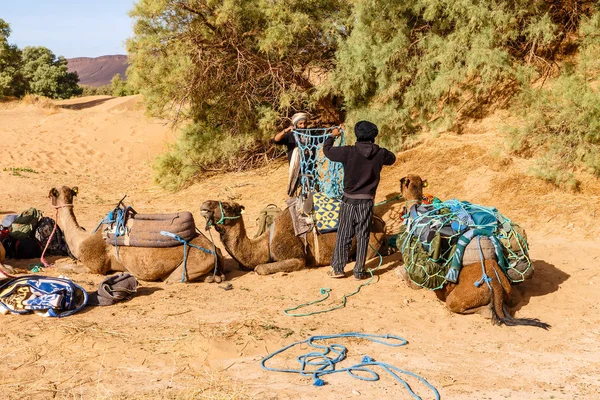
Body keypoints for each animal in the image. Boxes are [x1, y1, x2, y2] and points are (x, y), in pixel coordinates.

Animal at [48, 187, 225, 282]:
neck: (80, 239)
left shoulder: (95, 266)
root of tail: (216, 250)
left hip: (189, 265)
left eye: (51, 194)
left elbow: (64, 267)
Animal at [197, 200, 384, 276]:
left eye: (227, 206)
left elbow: (260, 268)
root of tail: (381, 221)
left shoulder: (297, 258)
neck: (265, 243)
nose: (205, 205)